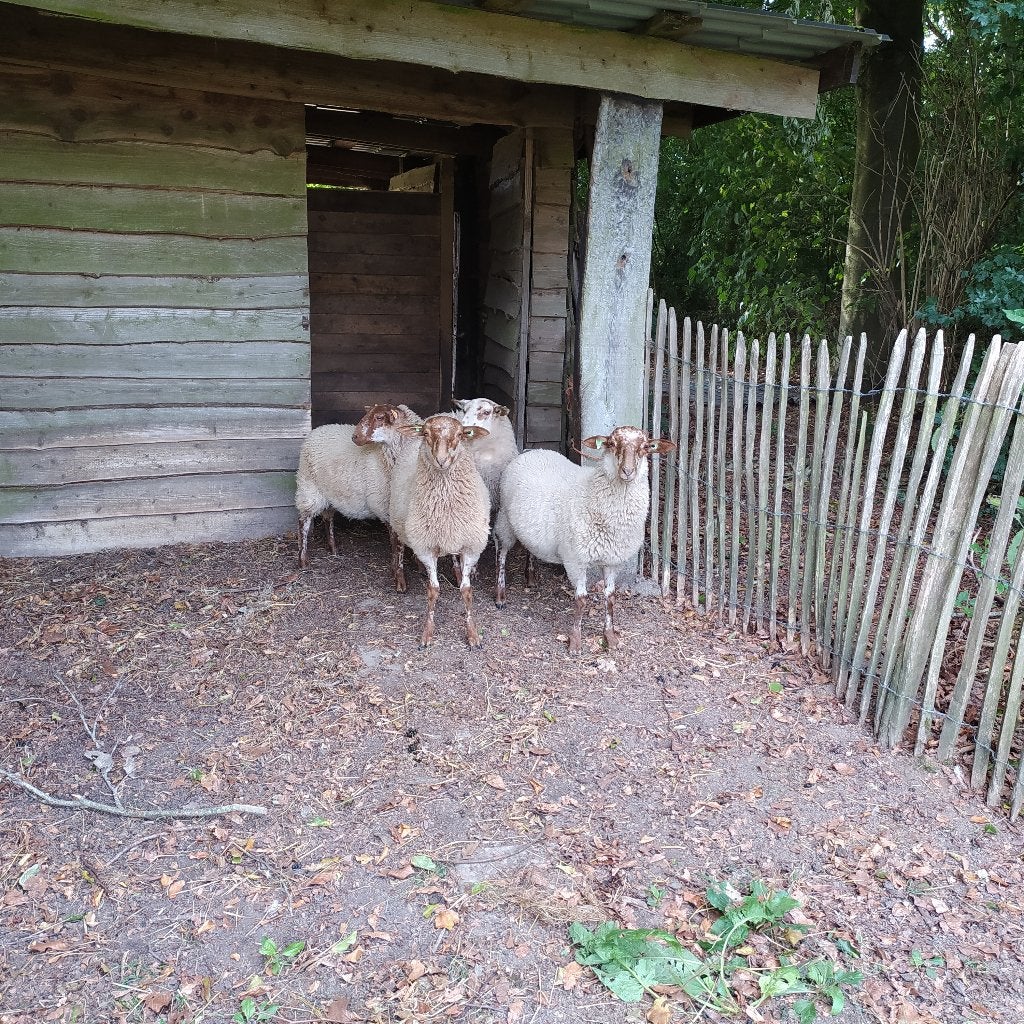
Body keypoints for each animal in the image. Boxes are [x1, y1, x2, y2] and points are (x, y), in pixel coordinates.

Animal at [294, 404, 420, 576]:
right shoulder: (388, 508)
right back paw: (303, 560)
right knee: (303, 522)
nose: (354, 437)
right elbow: (396, 543)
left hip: (330, 492)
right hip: (309, 486)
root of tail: (316, 431)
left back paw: (333, 549)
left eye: (379, 417)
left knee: (328, 517)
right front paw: (397, 571)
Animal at [388, 414, 491, 648]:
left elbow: (466, 591)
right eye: (426, 433)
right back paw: (399, 577)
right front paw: (427, 633)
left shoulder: (471, 545)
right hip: (397, 523)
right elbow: (433, 590)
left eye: (460, 434)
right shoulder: (426, 547)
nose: (441, 460)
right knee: (397, 545)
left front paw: (473, 635)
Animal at [493, 425, 675, 655]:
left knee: (529, 546)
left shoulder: (613, 560)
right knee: (501, 553)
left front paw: (610, 637)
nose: (627, 471)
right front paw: (575, 642)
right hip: (504, 520)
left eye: (645, 447)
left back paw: (531, 577)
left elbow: (610, 598)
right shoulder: (575, 560)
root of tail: (531, 451)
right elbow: (581, 600)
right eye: (611, 444)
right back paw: (500, 595)